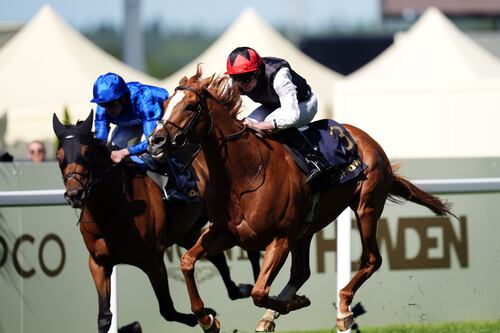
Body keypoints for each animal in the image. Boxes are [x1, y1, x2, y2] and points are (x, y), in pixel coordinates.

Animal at [52, 112, 260, 332]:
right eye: (58, 155)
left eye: (87, 152)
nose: (75, 194)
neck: (112, 212)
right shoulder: (99, 263)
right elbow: (104, 317)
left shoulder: (153, 259)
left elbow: (167, 309)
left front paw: (205, 315)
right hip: (188, 232)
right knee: (218, 257)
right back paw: (239, 290)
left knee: (250, 250)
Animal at [147, 68, 454, 332]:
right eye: (165, 105)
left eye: (189, 107)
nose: (156, 141)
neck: (245, 173)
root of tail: (368, 140)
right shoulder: (225, 233)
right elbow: (187, 261)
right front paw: (206, 318)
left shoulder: (280, 238)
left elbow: (259, 291)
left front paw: (296, 302)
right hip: (305, 229)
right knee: (301, 272)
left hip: (366, 206)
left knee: (371, 260)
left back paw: (343, 310)